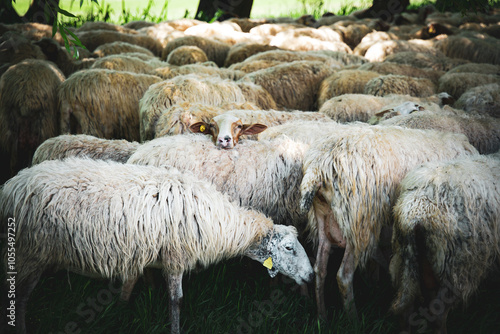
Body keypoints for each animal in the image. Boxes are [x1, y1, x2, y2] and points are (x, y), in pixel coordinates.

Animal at [0, 157, 312, 334]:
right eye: (289, 248)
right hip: (31, 251)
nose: (311, 276)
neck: (220, 222)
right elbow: (176, 301)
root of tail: (12, 186)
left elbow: (129, 286)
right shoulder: (175, 257)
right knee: (20, 296)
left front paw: (121, 311)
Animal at [298, 126, 478, 320]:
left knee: (319, 269)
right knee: (343, 276)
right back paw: (353, 318)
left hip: (324, 220)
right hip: (358, 223)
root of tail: (317, 168)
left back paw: (322, 316)